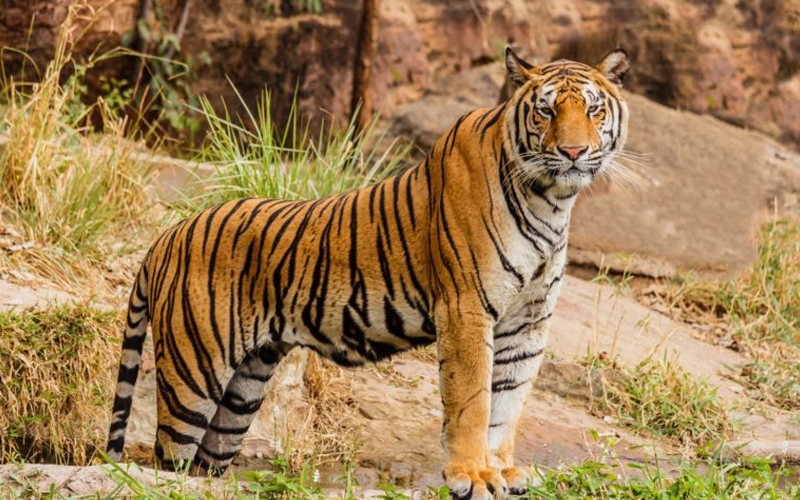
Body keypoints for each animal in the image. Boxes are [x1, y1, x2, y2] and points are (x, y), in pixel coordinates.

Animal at [106, 47, 630, 499]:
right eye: (545, 111)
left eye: (593, 110)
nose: (573, 152)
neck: (551, 201)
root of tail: (166, 236)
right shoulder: (466, 310)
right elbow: (473, 402)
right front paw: (474, 476)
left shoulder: (528, 322)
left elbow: (508, 403)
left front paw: (502, 471)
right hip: (193, 374)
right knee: (167, 460)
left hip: (243, 390)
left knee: (203, 465)